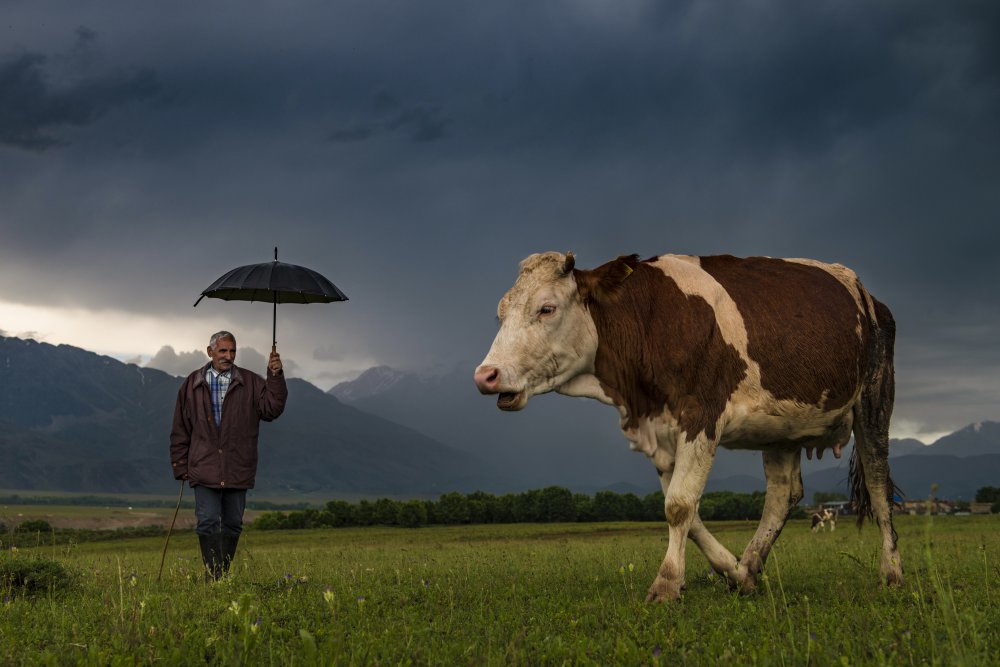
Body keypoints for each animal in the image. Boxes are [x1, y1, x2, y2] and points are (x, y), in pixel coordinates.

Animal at [472, 253, 904, 604]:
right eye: (500, 314)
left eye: (547, 308)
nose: (486, 375)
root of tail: (864, 291)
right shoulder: (660, 431)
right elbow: (685, 510)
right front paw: (733, 571)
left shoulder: (701, 416)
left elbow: (679, 505)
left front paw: (666, 584)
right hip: (781, 426)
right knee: (784, 494)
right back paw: (750, 566)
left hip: (874, 397)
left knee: (878, 485)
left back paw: (892, 573)